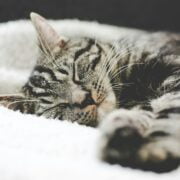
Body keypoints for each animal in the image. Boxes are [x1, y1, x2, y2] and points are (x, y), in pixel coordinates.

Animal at [1, 11, 180, 172]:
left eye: (74, 73)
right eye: (58, 106)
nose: (85, 99)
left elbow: (169, 112)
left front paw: (157, 146)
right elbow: (137, 114)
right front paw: (121, 138)